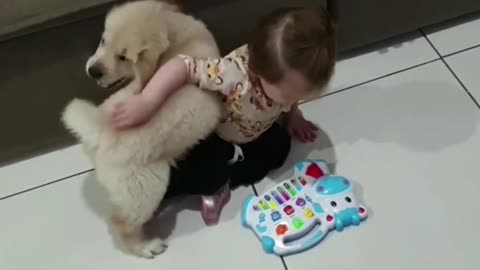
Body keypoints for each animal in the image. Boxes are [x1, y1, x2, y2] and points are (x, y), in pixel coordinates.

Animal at [62, 0, 223, 260]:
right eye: (103, 41)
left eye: (123, 57)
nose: (93, 71)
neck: (176, 32)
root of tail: (101, 132)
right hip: (148, 186)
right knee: (121, 223)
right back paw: (147, 246)